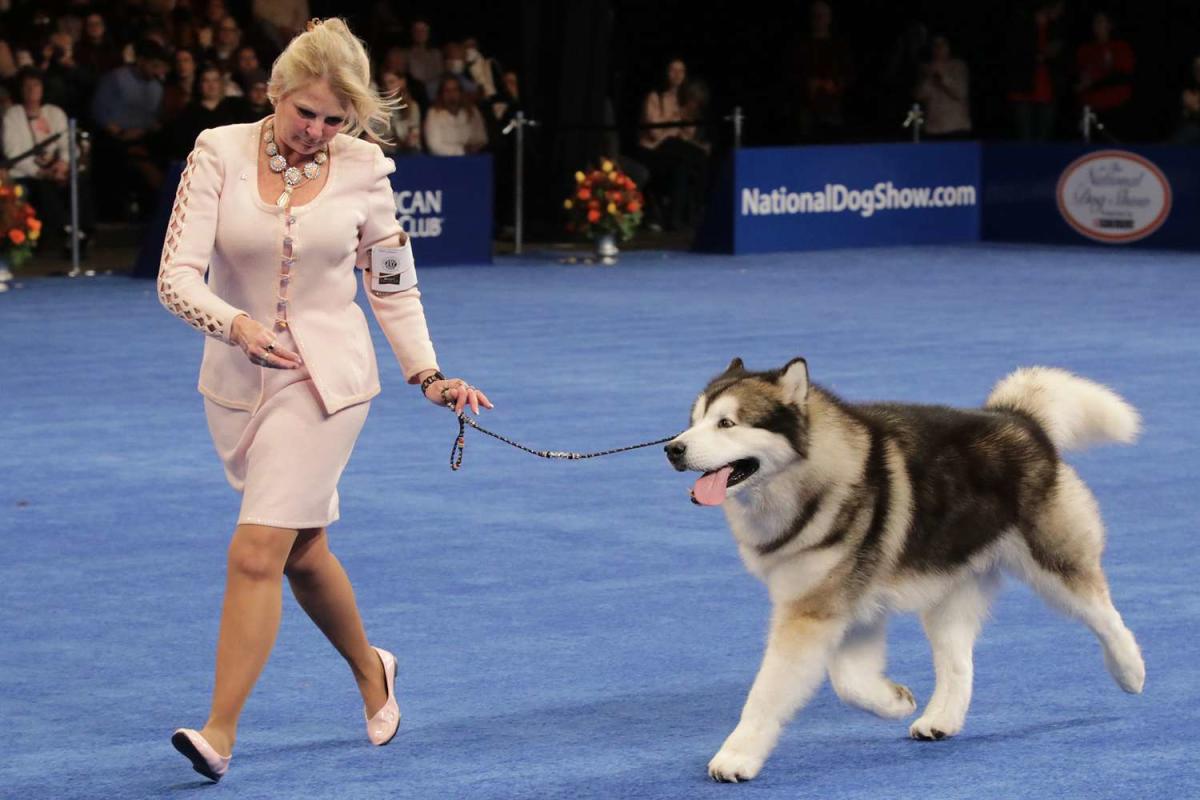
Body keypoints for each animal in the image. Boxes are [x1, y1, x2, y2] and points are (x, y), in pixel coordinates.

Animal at [667, 362, 1142, 782]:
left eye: (727, 423)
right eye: (693, 422)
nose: (672, 448)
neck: (812, 480)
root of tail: (1018, 418)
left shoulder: (810, 612)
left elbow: (767, 692)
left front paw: (736, 757)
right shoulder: (846, 608)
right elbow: (850, 682)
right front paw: (894, 701)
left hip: (1054, 564)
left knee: (1104, 613)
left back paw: (1130, 671)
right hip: (948, 588)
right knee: (958, 664)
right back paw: (941, 719)